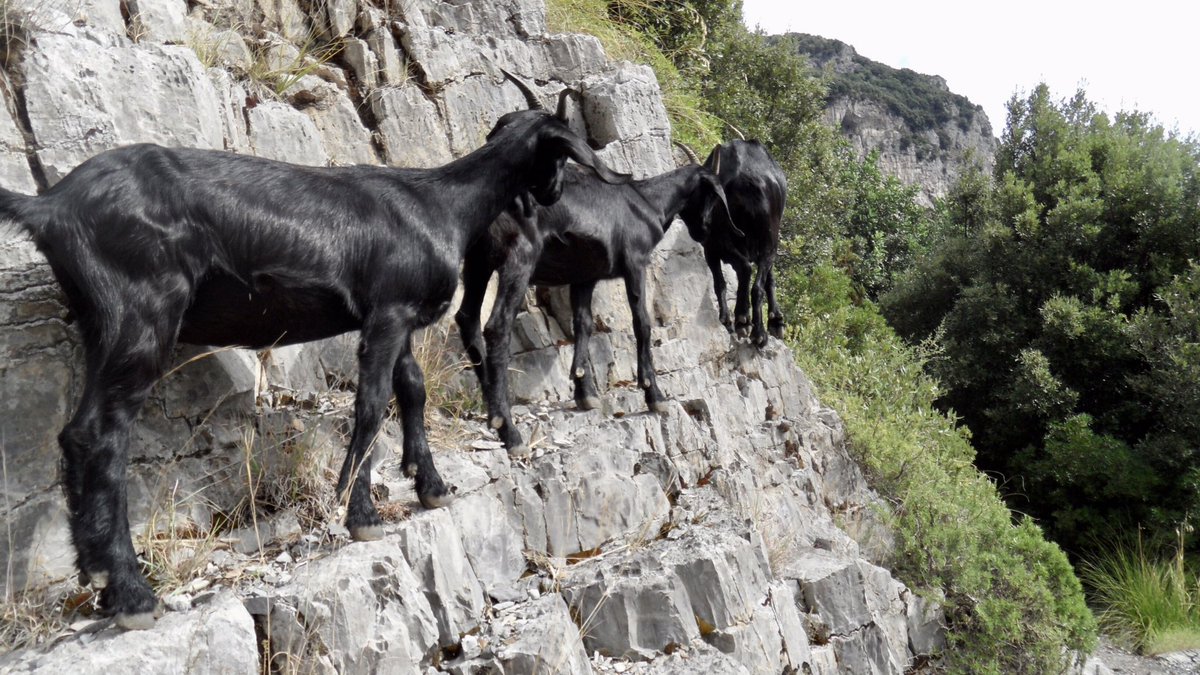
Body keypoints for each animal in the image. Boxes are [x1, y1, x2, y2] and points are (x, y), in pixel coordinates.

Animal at [0, 73, 626, 629]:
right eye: (564, 156)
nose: (552, 196)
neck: (439, 203)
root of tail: (52, 206)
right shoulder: (388, 313)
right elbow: (371, 406)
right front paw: (361, 512)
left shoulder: (395, 316)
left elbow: (412, 392)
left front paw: (430, 486)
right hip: (142, 316)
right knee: (103, 436)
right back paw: (132, 593)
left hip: (102, 324)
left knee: (75, 435)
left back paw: (99, 579)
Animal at [455, 139, 729, 456]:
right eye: (710, 194)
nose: (704, 230)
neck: (647, 202)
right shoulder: (635, 263)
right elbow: (642, 324)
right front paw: (654, 394)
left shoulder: (584, 277)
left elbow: (583, 324)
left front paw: (584, 392)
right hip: (519, 257)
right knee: (497, 325)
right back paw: (509, 430)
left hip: (479, 260)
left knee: (467, 319)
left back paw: (493, 412)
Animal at [687, 140, 787, 346]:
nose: (698, 229)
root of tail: (747, 182)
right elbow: (768, 278)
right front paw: (776, 321)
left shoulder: (713, 247)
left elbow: (721, 282)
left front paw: (727, 319)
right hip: (765, 240)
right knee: (754, 281)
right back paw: (754, 330)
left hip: (721, 243)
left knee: (742, 273)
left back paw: (740, 321)